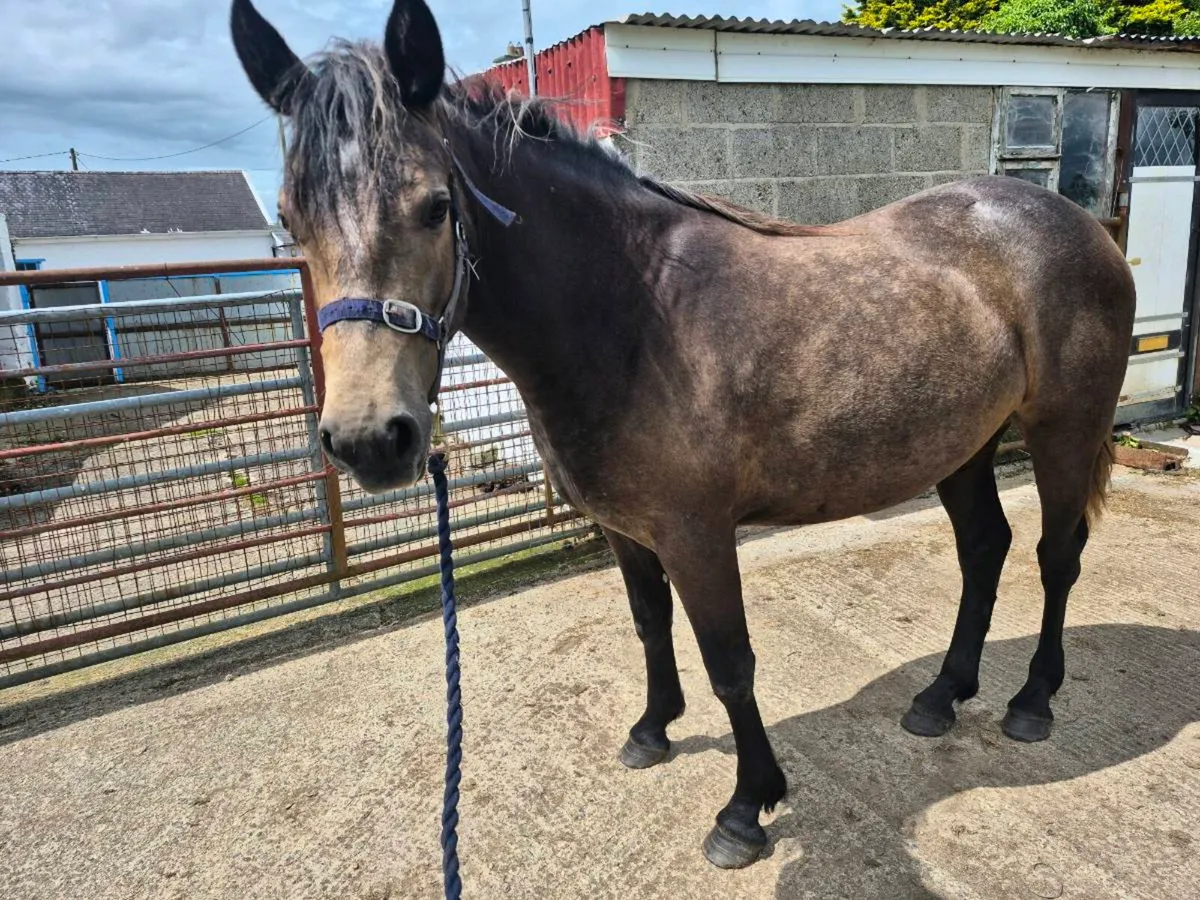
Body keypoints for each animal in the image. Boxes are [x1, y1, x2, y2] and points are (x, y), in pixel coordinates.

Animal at [231, 0, 1136, 870]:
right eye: (291, 219)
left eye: (435, 207)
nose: (368, 440)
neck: (632, 313)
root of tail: (1077, 223)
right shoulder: (627, 528)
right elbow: (650, 624)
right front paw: (652, 729)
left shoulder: (697, 534)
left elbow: (730, 662)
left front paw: (747, 808)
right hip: (963, 447)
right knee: (984, 549)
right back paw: (941, 696)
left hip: (1063, 430)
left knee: (1055, 556)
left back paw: (1031, 702)